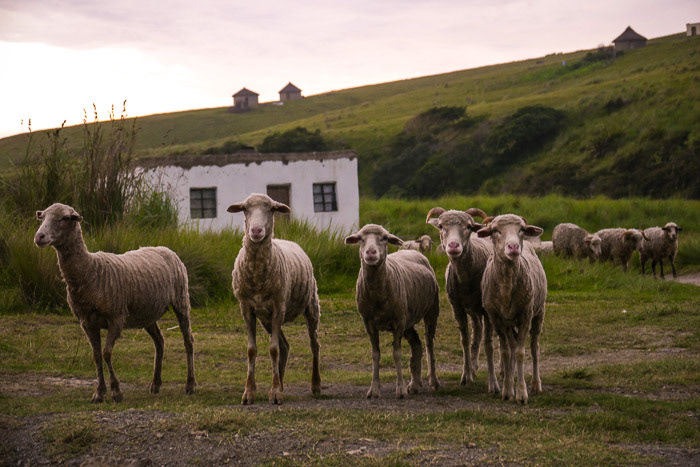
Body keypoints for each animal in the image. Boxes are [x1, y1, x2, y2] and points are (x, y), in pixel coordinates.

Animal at [34, 203, 196, 403]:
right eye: (42, 217)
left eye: (64, 218)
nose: (39, 237)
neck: (90, 271)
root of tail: (164, 248)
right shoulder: (87, 323)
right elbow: (96, 356)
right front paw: (99, 392)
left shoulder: (116, 318)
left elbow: (106, 353)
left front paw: (116, 391)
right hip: (146, 313)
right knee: (159, 341)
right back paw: (156, 384)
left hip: (181, 300)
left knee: (188, 340)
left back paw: (190, 385)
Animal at [228, 193, 321, 405]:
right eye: (245, 208)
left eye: (271, 209)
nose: (256, 230)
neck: (257, 276)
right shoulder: (247, 308)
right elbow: (252, 350)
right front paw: (250, 392)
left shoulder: (279, 307)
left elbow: (273, 350)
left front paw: (276, 392)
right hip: (266, 318)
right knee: (285, 346)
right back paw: (280, 385)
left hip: (311, 305)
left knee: (314, 345)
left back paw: (315, 385)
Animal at [345, 224, 440, 399]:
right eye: (360, 238)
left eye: (384, 238)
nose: (371, 252)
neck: (377, 295)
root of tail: (414, 251)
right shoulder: (368, 322)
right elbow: (375, 354)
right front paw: (374, 390)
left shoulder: (398, 322)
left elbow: (397, 354)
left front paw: (400, 389)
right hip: (408, 319)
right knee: (417, 344)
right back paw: (414, 384)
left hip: (431, 310)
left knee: (429, 344)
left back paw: (433, 381)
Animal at [426, 207, 499, 394]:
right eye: (441, 226)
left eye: (468, 226)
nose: (453, 246)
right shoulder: (457, 308)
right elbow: (465, 340)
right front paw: (466, 375)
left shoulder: (487, 310)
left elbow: (489, 344)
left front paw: (493, 383)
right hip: (473, 310)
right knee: (477, 332)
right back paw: (473, 367)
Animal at [477, 214, 547, 404]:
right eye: (495, 230)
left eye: (521, 229)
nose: (514, 247)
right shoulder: (497, 319)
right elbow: (506, 353)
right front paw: (508, 391)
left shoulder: (525, 315)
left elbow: (521, 353)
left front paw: (521, 394)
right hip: (508, 323)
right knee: (512, 344)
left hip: (538, 313)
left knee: (534, 347)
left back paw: (536, 384)